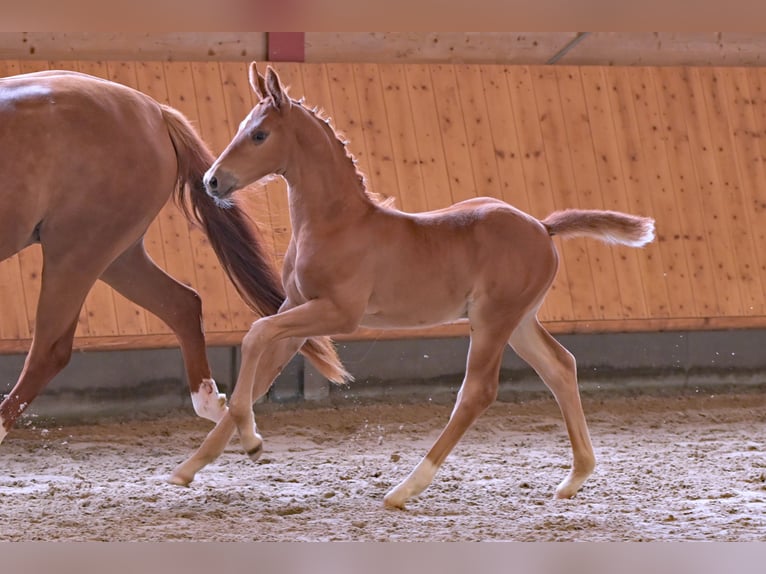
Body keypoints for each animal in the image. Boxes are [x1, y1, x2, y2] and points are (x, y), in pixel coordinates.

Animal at [0, 71, 344, 446]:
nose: (214, 180)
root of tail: (154, 111)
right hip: (117, 257)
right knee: (182, 305)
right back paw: (219, 411)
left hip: (77, 249)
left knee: (49, 349)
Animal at [172, 64, 656, 512]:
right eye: (242, 128)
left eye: (259, 134)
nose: (212, 181)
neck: (336, 223)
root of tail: (542, 226)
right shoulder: (296, 306)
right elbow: (259, 372)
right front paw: (191, 466)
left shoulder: (338, 313)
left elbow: (255, 336)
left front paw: (252, 440)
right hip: (518, 322)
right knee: (561, 367)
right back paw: (575, 477)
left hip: (493, 320)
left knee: (477, 391)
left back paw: (406, 488)